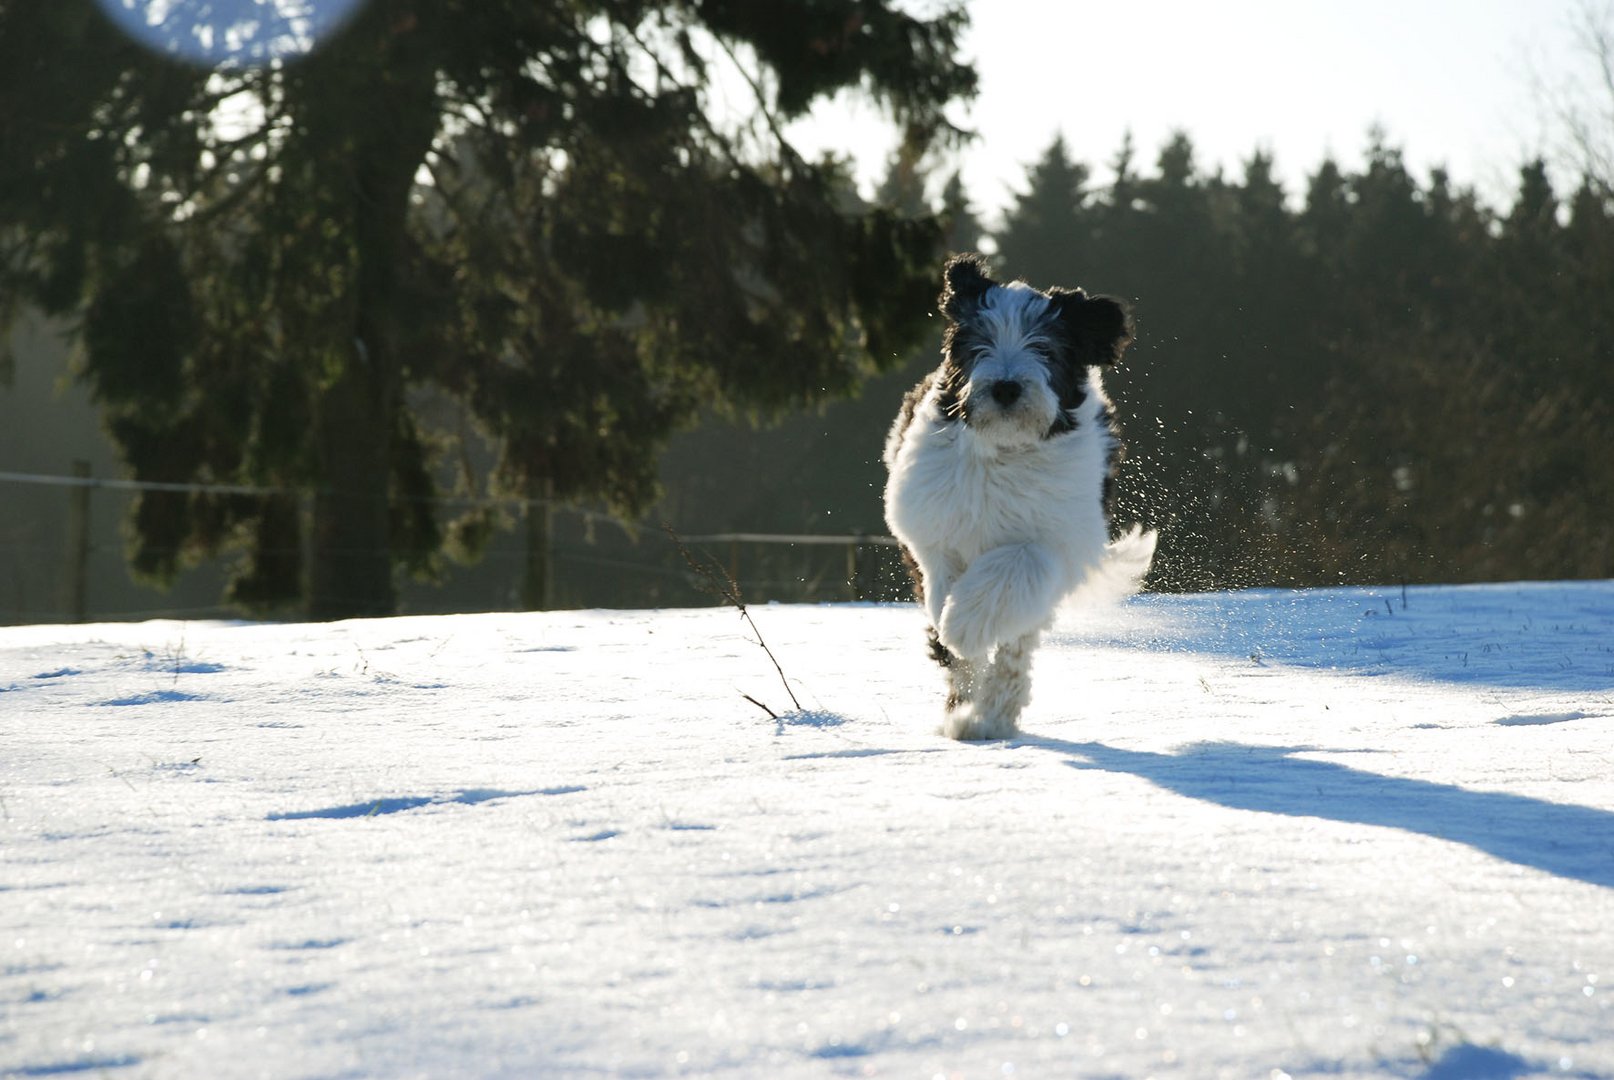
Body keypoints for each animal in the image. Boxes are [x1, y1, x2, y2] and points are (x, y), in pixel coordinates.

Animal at [878, 253, 1155, 742]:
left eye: (1045, 348)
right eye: (979, 341)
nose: (1006, 387)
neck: (1005, 448)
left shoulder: (1054, 537)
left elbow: (1012, 571)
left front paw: (966, 626)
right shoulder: (935, 533)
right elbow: (944, 595)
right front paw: (959, 650)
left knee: (1017, 642)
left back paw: (992, 715)